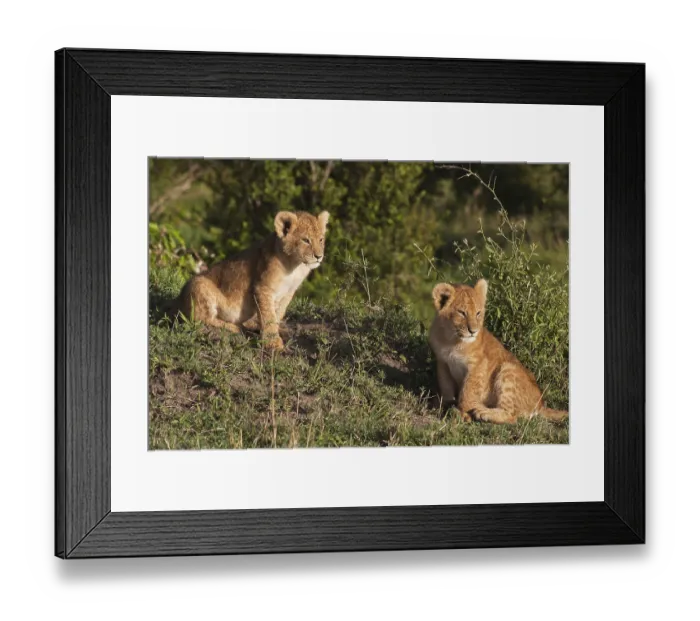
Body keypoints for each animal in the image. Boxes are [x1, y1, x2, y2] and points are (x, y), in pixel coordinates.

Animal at [173, 210, 329, 350]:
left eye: (321, 239)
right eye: (306, 240)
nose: (319, 256)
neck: (296, 266)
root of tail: (178, 303)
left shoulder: (288, 292)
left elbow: (278, 314)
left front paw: (273, 330)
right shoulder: (263, 287)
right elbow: (268, 316)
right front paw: (272, 343)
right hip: (198, 284)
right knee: (199, 319)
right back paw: (235, 327)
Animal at [428, 280, 568, 424]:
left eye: (478, 313)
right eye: (462, 313)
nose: (473, 331)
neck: (450, 339)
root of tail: (540, 405)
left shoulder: (478, 365)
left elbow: (468, 391)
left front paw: (462, 413)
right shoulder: (443, 362)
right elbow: (446, 387)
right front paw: (443, 405)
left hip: (508, 369)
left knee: (511, 416)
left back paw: (482, 411)